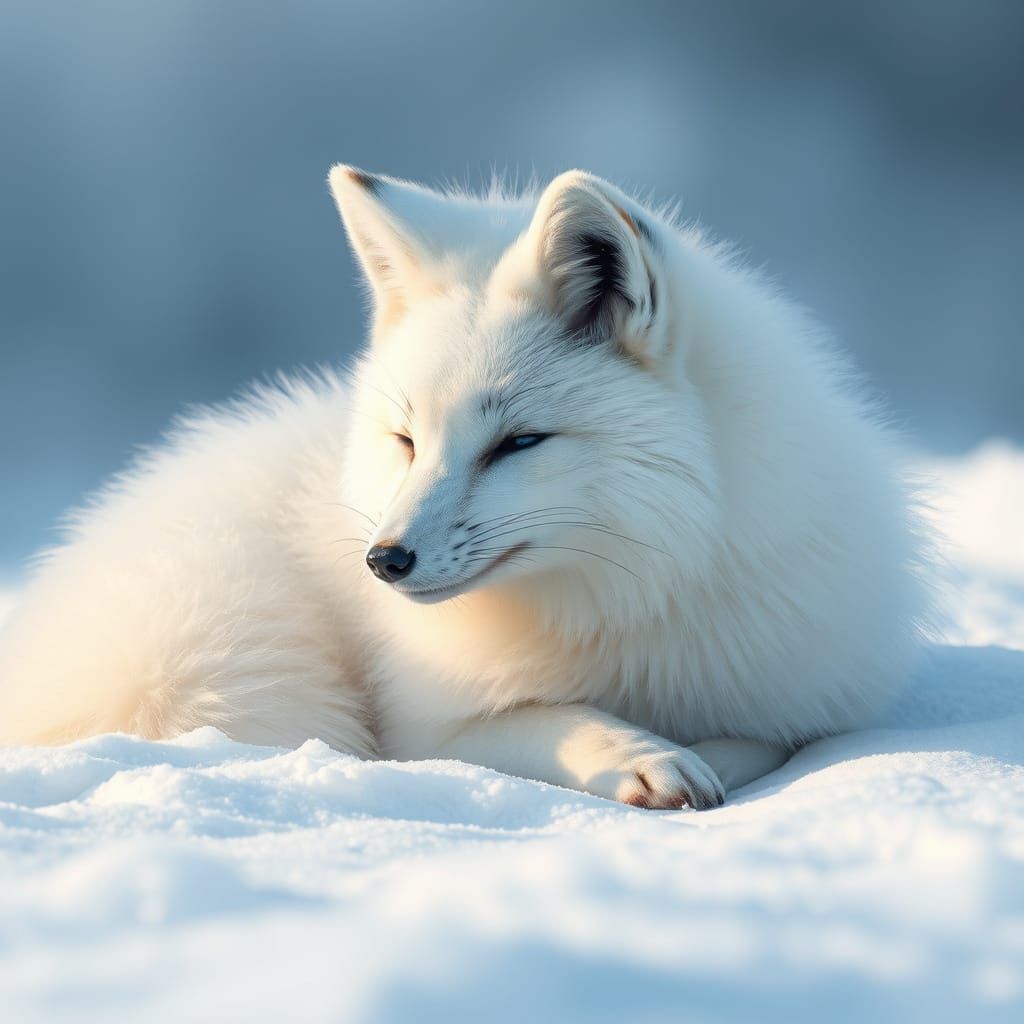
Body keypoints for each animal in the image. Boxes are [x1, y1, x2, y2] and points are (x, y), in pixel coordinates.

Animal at [0, 167, 928, 808]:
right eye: (408, 441)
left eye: (518, 443)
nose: (383, 561)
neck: (624, 597)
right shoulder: (426, 727)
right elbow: (546, 723)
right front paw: (646, 756)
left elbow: (770, 740)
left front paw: (699, 753)